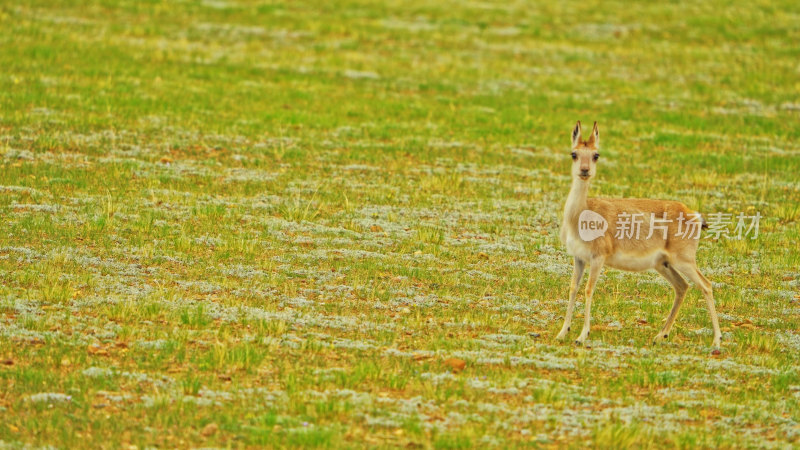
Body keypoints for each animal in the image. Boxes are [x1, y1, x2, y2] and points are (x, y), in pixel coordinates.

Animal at [560, 122, 720, 348]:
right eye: (574, 154)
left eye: (596, 155)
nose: (585, 170)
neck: (580, 215)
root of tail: (695, 215)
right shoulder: (579, 258)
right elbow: (573, 287)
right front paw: (562, 332)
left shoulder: (598, 258)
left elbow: (589, 289)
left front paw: (582, 336)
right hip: (663, 264)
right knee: (682, 286)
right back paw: (660, 336)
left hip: (684, 261)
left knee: (706, 285)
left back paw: (716, 340)